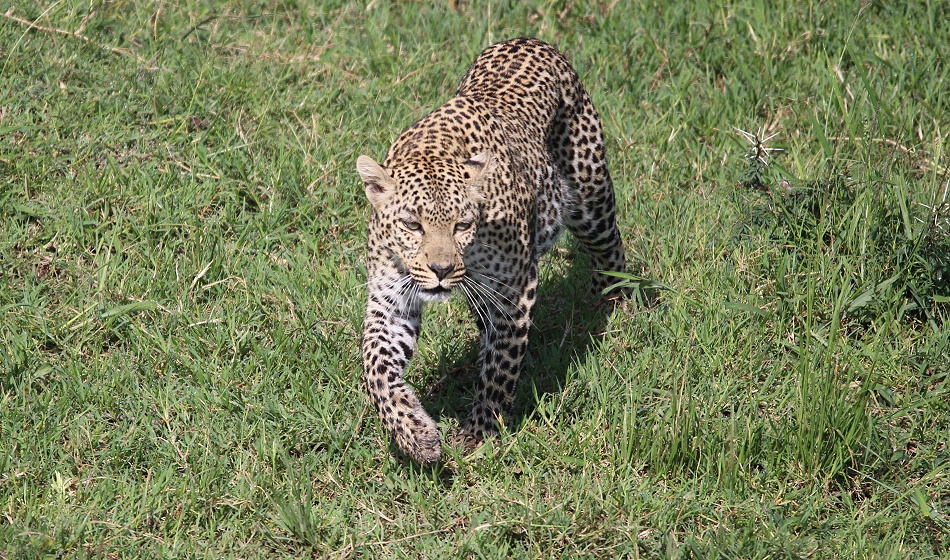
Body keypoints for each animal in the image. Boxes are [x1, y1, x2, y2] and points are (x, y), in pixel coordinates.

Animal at [356, 37, 625, 463]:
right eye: (412, 225)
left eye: (462, 225)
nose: (441, 270)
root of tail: (530, 39)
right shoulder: (391, 299)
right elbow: (376, 367)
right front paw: (415, 435)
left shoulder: (515, 288)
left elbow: (502, 364)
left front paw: (479, 431)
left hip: (591, 196)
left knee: (610, 247)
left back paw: (615, 304)